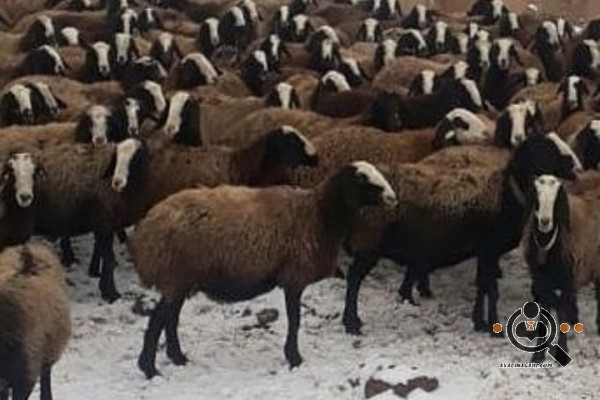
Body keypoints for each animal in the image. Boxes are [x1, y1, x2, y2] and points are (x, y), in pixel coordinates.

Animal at [130, 160, 396, 377]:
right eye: (362, 179)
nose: (393, 198)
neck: (319, 215)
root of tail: (146, 228)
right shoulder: (294, 277)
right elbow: (295, 320)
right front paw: (294, 358)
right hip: (175, 275)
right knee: (157, 320)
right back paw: (149, 369)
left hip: (180, 279)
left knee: (170, 319)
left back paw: (177, 358)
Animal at [342, 133, 582, 335]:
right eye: (546, 150)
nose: (574, 167)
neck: (506, 194)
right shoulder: (489, 249)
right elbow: (491, 289)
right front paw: (492, 326)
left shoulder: (486, 253)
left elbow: (483, 287)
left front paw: (479, 322)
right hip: (369, 240)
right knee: (354, 279)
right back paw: (351, 323)